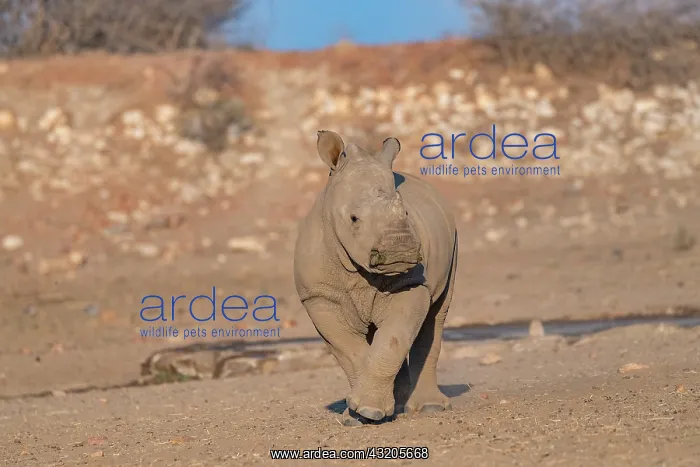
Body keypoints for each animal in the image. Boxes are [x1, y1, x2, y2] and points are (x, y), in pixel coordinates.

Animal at [293, 130, 459, 425]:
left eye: (406, 213)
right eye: (353, 219)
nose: (400, 250)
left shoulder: (410, 283)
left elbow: (393, 338)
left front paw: (369, 409)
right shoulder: (319, 296)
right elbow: (349, 351)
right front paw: (360, 414)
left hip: (453, 241)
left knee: (436, 316)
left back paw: (429, 407)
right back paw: (399, 404)